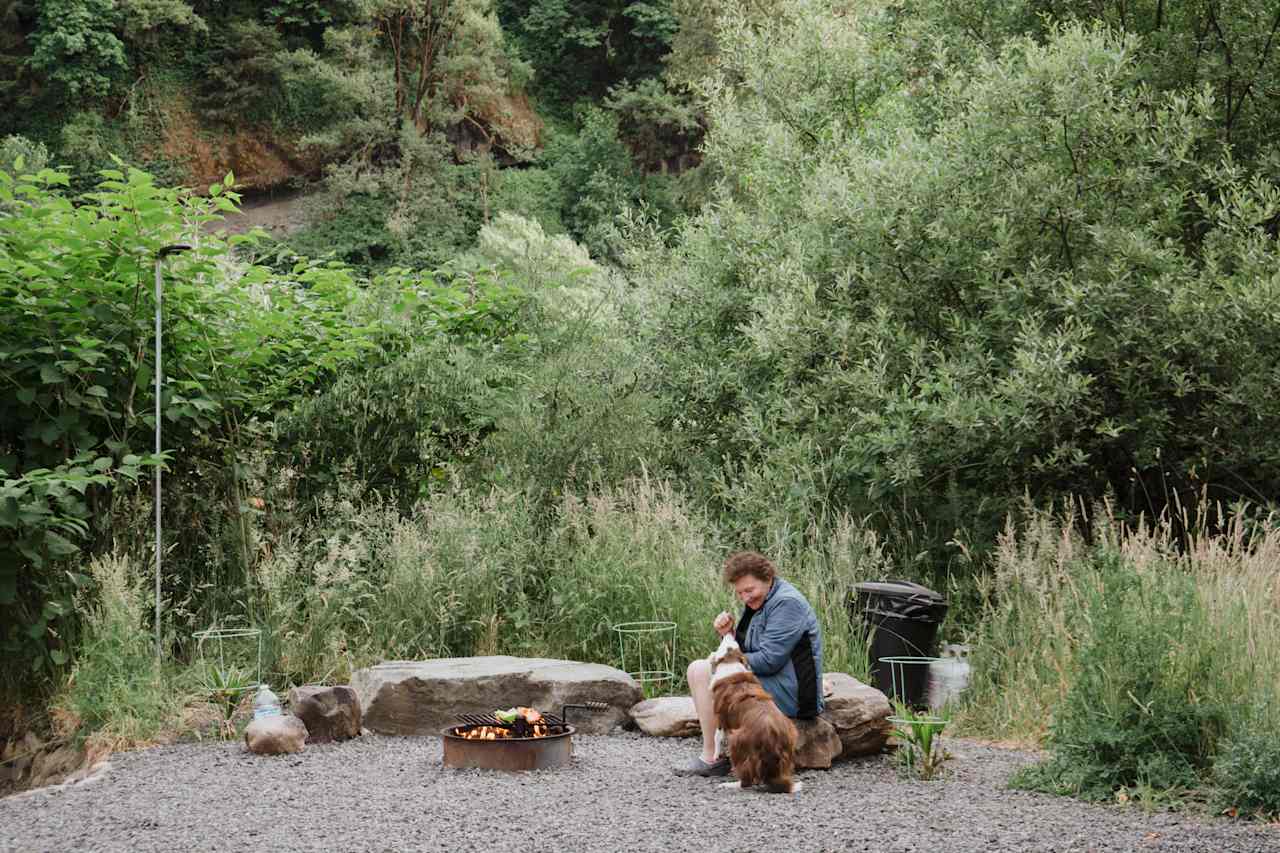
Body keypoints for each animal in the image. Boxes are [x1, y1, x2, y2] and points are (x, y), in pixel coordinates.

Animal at [711, 630, 798, 788]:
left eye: (728, 644)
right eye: (735, 645)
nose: (728, 632)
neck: (730, 661)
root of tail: (771, 736)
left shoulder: (720, 716)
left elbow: (717, 736)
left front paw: (715, 755)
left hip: (736, 739)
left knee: (746, 781)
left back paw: (730, 784)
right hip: (791, 738)